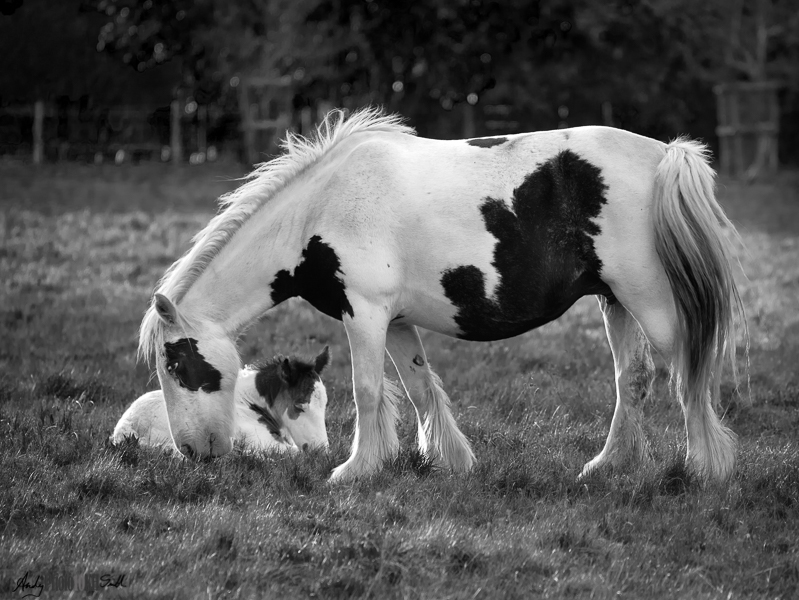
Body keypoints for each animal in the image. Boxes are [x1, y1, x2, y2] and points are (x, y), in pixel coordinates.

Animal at [115, 350, 332, 452]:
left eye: (325, 405)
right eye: (299, 405)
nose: (320, 451)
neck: (246, 402)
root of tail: (126, 427)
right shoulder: (263, 439)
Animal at [138, 108, 744, 482]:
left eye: (177, 363)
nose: (192, 452)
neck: (321, 208)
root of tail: (666, 156)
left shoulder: (364, 314)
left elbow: (367, 390)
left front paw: (355, 470)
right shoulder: (396, 321)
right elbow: (419, 385)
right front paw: (448, 462)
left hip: (648, 301)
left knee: (688, 373)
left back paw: (704, 468)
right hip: (614, 301)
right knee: (633, 379)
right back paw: (606, 466)